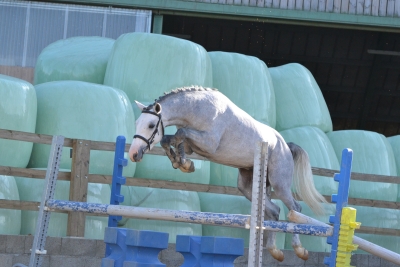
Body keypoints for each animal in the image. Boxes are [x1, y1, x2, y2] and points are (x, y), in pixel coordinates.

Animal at [130, 86, 326, 264]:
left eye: (150, 125)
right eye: (137, 123)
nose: (133, 154)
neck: (197, 109)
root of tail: (286, 145)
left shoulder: (208, 143)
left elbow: (180, 133)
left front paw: (183, 163)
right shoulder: (192, 145)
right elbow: (172, 139)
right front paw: (183, 164)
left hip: (280, 183)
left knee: (295, 209)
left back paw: (299, 250)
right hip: (247, 185)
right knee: (274, 211)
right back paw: (274, 251)